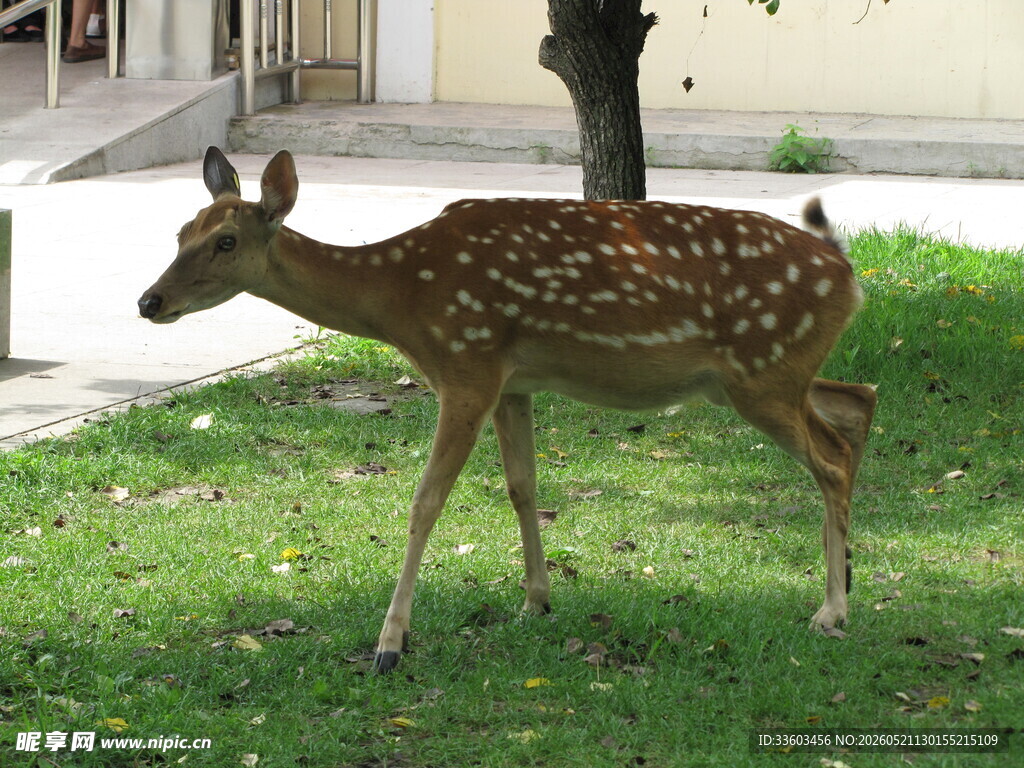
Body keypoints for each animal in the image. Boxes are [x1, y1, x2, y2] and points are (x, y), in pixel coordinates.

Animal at [138, 147, 877, 674]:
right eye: (178, 232)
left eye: (226, 242)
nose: (149, 301)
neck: (400, 298)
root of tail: (849, 277)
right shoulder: (514, 381)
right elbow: (523, 487)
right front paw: (537, 601)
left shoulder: (466, 365)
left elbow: (426, 501)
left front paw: (389, 645)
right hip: (764, 376)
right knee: (859, 404)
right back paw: (846, 576)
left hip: (761, 372)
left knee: (832, 458)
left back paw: (832, 611)